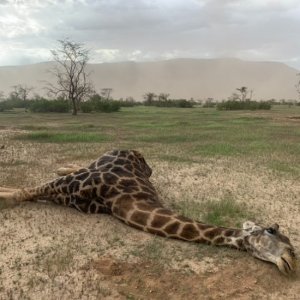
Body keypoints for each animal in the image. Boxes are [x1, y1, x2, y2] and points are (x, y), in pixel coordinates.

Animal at [0, 149, 296, 274]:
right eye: (272, 230)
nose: (291, 262)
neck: (120, 198)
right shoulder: (79, 182)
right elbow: (24, 192)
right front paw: (4, 195)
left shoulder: (76, 198)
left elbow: (29, 191)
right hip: (97, 162)